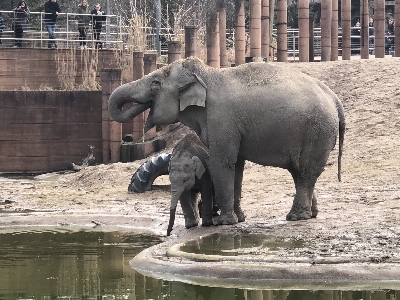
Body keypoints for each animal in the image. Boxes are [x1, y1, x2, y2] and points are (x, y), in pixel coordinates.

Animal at [108, 56, 346, 225]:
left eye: (156, 84)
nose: (129, 137)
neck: (207, 75)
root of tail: (335, 99)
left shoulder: (221, 119)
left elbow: (221, 162)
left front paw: (224, 222)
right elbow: (237, 165)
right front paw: (239, 219)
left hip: (317, 132)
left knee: (305, 172)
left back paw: (296, 217)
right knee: (300, 172)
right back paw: (311, 214)